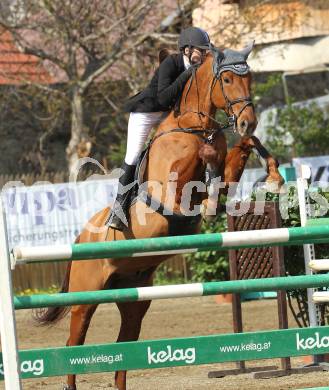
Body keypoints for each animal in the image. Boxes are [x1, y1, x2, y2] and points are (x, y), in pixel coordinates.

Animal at [36, 44, 282, 388]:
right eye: (228, 79)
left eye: (251, 78)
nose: (247, 121)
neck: (195, 126)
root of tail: (81, 237)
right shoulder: (171, 195)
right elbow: (198, 163)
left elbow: (240, 152)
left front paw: (273, 174)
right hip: (84, 300)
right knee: (74, 343)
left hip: (134, 299)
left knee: (124, 346)